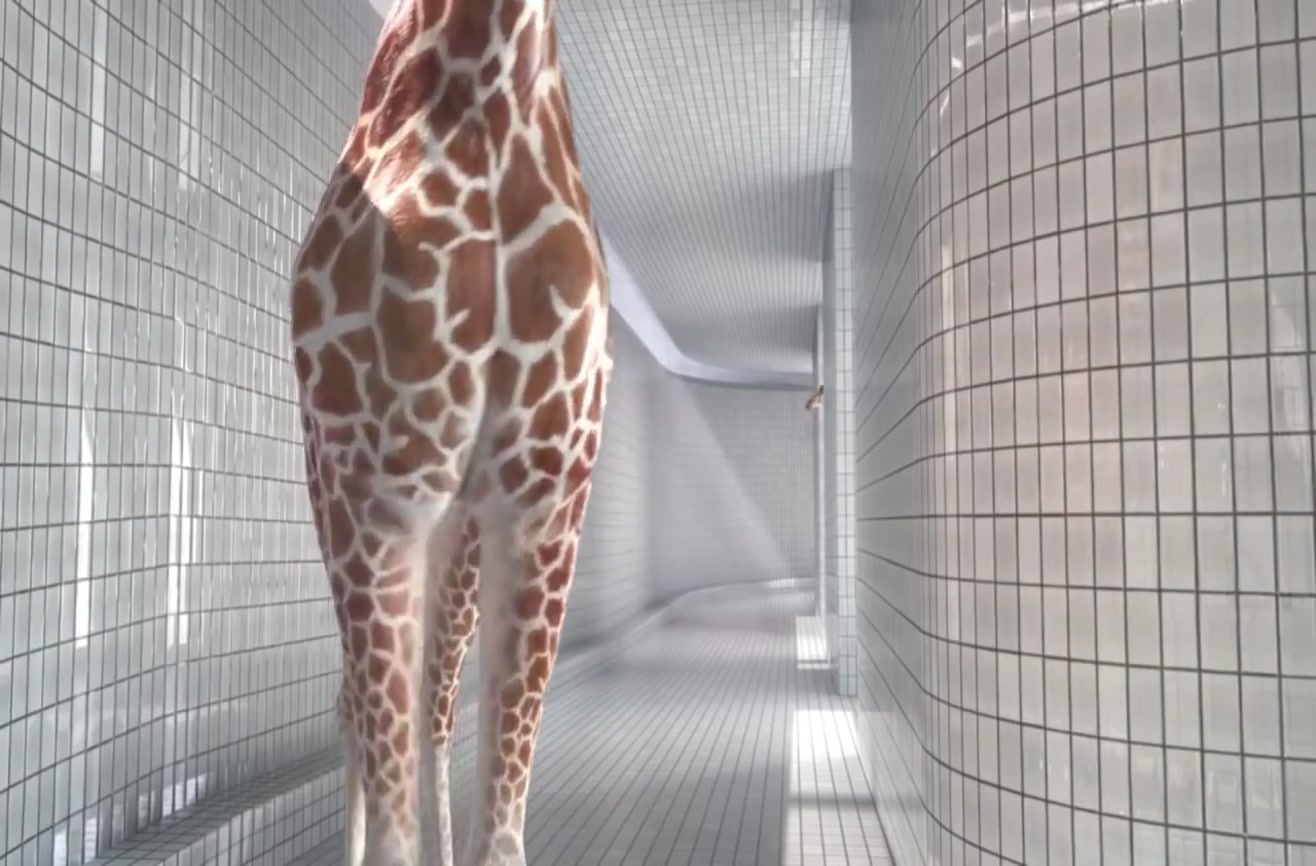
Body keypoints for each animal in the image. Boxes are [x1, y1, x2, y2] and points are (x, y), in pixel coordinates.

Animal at [288, 1, 610, 863]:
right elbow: (392, 818)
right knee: (358, 707)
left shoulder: (543, 495)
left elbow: (500, 833)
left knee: (431, 700)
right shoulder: (371, 486)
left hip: (455, 542)